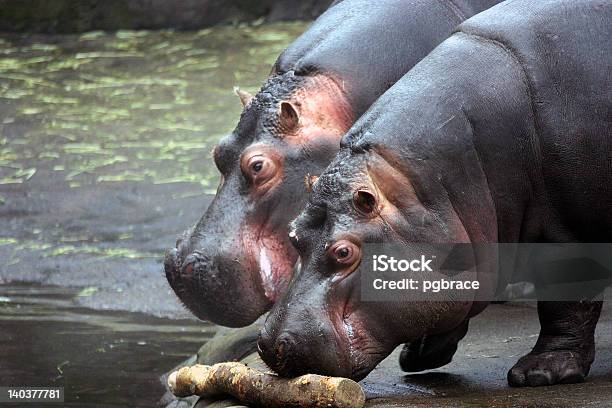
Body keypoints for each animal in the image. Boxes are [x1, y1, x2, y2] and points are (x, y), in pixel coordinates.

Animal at [258, 0, 612, 388]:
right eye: (294, 234)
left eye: (343, 252)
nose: (271, 345)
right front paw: (419, 354)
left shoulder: (574, 234)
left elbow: (566, 298)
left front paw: (538, 373)